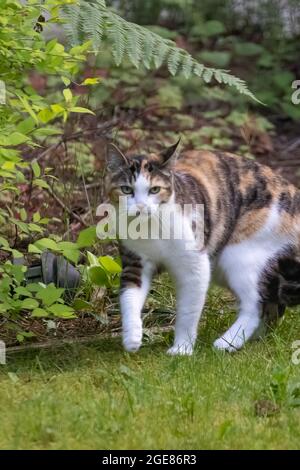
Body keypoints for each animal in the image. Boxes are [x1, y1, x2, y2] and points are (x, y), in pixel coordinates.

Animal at [103, 141, 300, 354]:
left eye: (154, 189)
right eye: (126, 189)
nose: (140, 207)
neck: (151, 229)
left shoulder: (195, 264)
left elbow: (188, 310)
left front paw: (181, 348)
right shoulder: (134, 263)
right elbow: (129, 297)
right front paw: (131, 337)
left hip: (240, 253)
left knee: (255, 304)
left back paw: (227, 342)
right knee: (272, 303)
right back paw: (254, 338)